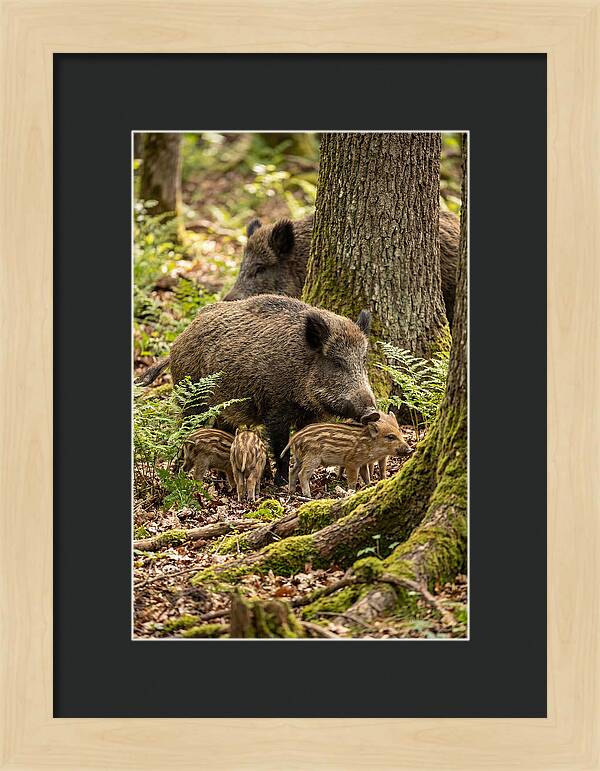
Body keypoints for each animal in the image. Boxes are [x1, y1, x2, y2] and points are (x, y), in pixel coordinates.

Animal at [160, 295, 377, 485]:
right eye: (337, 363)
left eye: (363, 361)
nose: (372, 413)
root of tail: (179, 340)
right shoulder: (275, 409)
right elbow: (281, 447)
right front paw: (281, 482)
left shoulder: (310, 416)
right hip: (192, 400)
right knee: (186, 428)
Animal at [283, 411, 412, 498]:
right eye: (390, 437)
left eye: (400, 433)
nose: (410, 450)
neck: (369, 444)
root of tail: (294, 438)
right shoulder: (351, 462)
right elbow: (353, 479)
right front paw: (352, 491)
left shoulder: (362, 463)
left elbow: (366, 475)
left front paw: (369, 486)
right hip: (312, 458)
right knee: (302, 474)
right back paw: (308, 495)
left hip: (300, 458)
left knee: (292, 471)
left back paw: (291, 491)